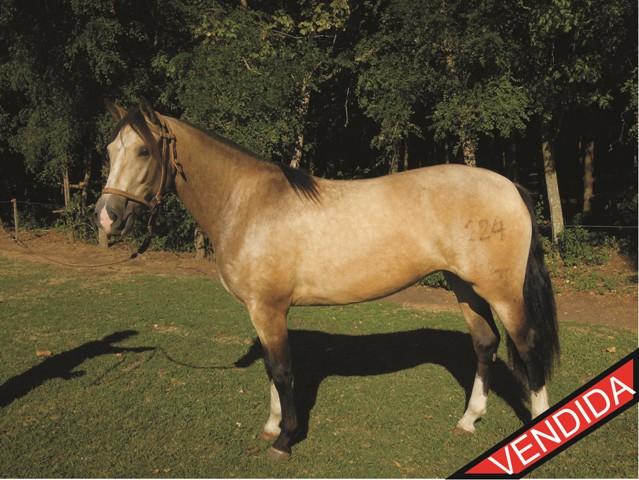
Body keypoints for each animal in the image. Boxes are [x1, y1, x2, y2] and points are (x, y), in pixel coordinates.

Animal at [95, 99, 559, 460]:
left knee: (527, 347)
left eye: (143, 151)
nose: (106, 216)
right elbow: (271, 368)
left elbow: (283, 370)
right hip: (464, 286)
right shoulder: (263, 312)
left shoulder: (269, 309)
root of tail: (510, 187)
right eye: (111, 150)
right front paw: (272, 425)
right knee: (485, 344)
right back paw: (468, 419)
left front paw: (283, 440)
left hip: (503, 293)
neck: (248, 204)